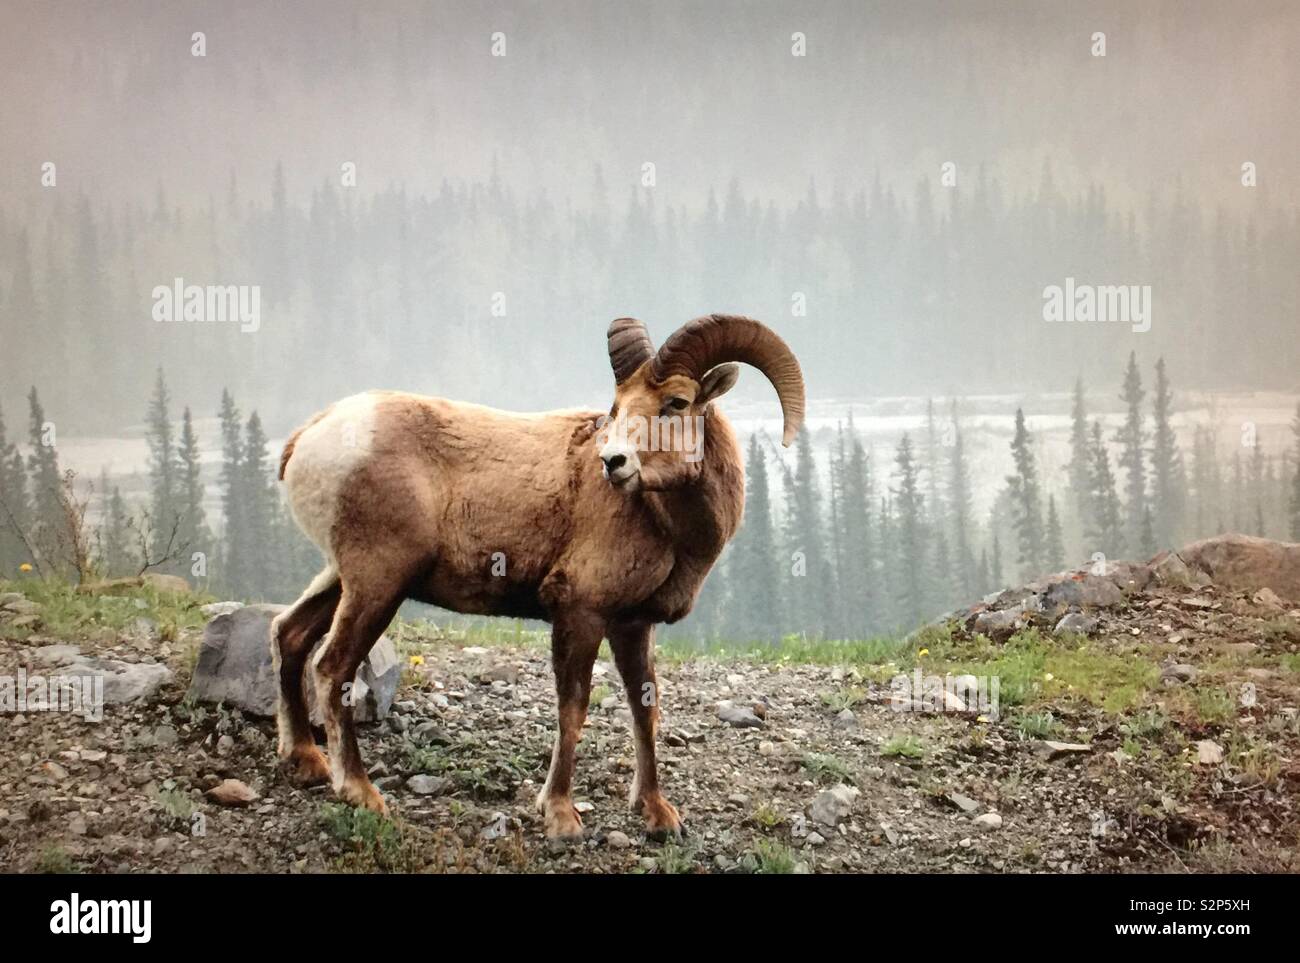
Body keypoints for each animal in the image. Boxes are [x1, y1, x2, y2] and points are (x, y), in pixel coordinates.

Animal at [272, 313, 805, 839]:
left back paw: (306, 761)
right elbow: (573, 709)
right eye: (618, 407)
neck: (667, 525)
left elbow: (645, 709)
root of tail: (307, 439)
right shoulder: (581, 613)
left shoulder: (633, 625)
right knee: (332, 667)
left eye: (676, 403)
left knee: (290, 633)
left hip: (343, 579)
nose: (613, 463)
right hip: (378, 583)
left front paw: (657, 814)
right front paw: (561, 817)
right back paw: (360, 791)